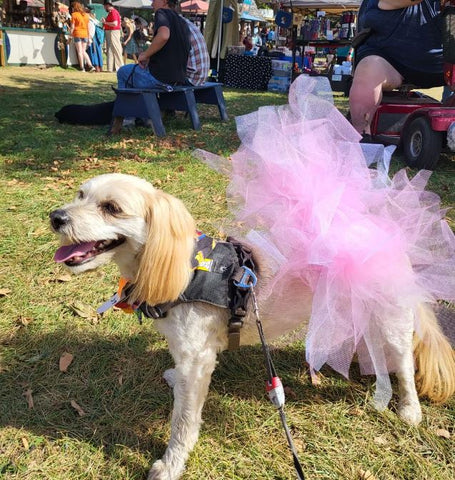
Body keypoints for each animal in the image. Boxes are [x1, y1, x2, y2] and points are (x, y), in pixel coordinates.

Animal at [50, 172, 455, 480]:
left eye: (111, 208)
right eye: (80, 194)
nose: (56, 216)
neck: (181, 268)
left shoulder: (197, 361)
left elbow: (183, 422)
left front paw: (171, 464)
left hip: (391, 317)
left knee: (404, 363)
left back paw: (409, 409)